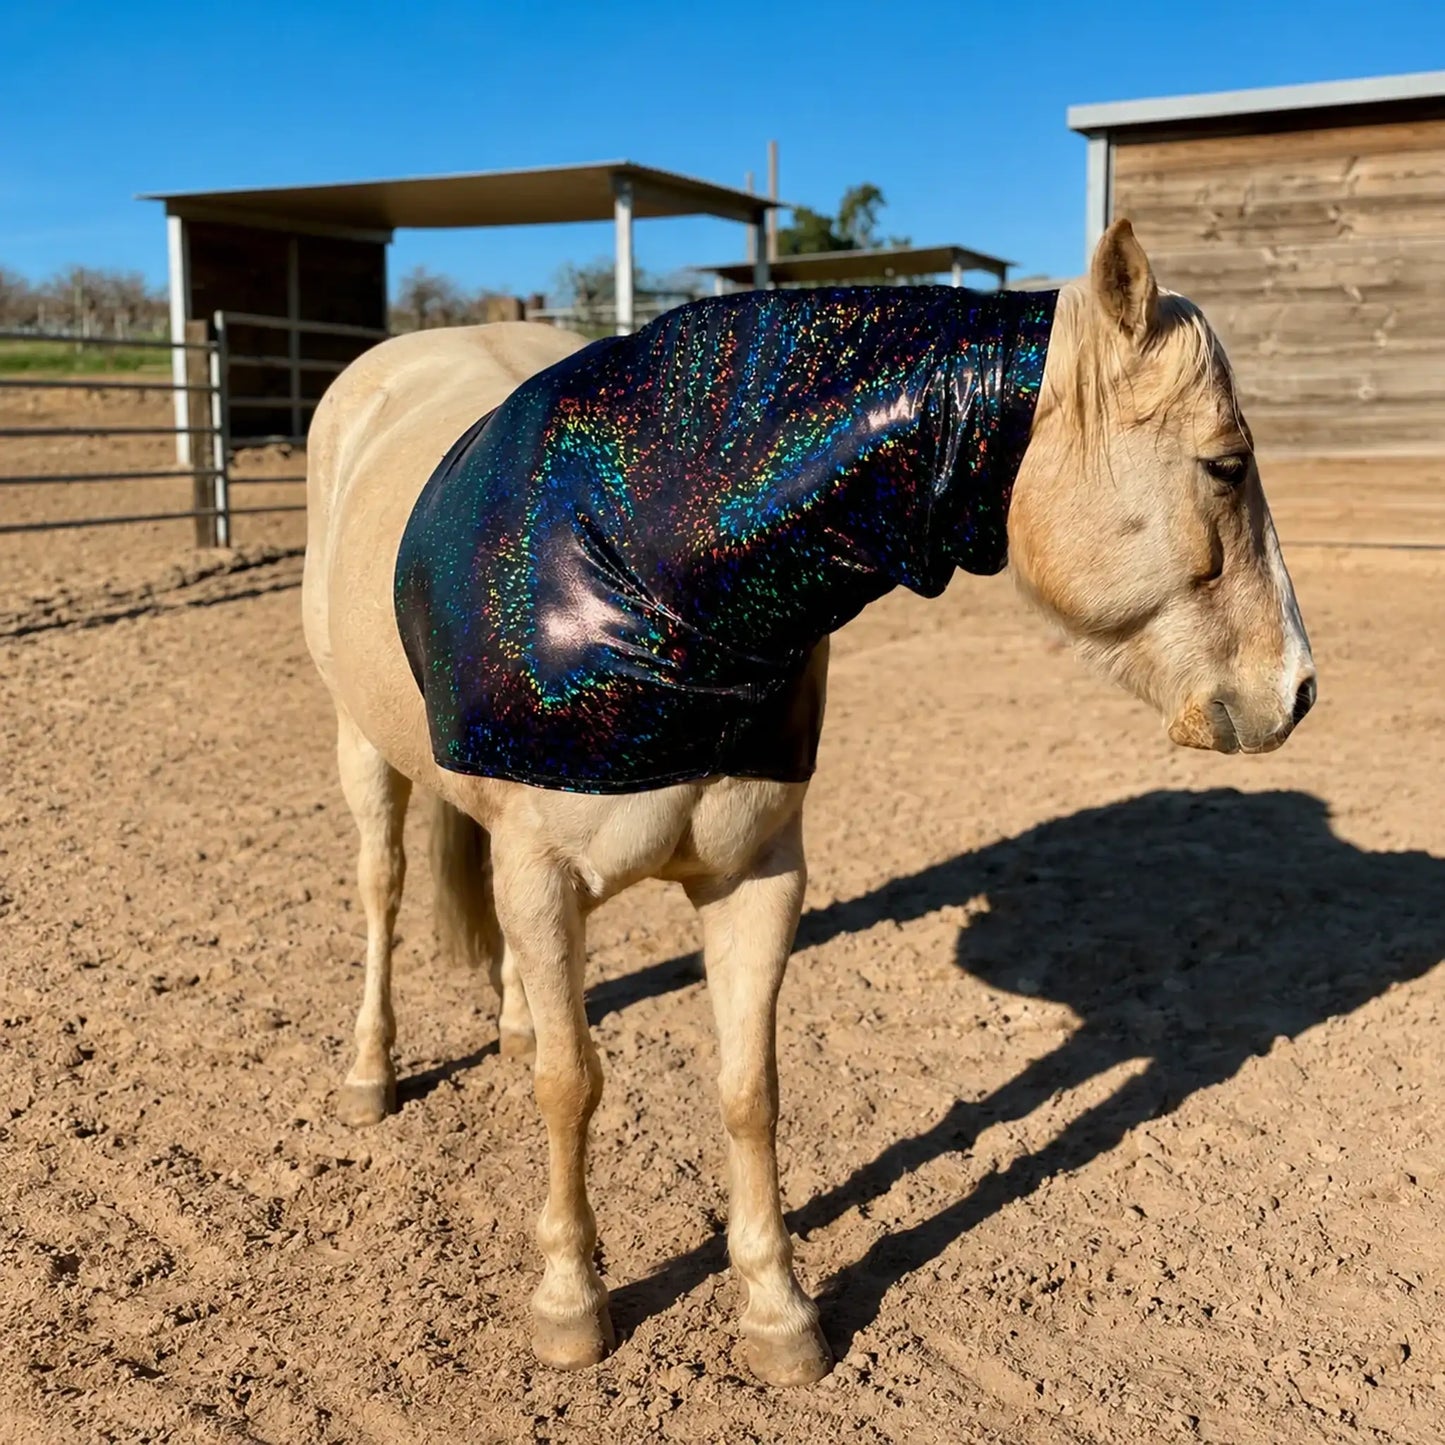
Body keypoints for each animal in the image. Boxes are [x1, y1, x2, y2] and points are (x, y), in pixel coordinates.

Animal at [301, 219, 1316, 1386]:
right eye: (1226, 464)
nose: (1296, 689)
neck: (658, 580)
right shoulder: (545, 879)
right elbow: (571, 1084)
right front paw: (569, 1301)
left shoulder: (756, 881)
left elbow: (749, 1092)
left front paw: (777, 1312)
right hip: (360, 748)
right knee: (380, 891)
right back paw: (369, 1074)